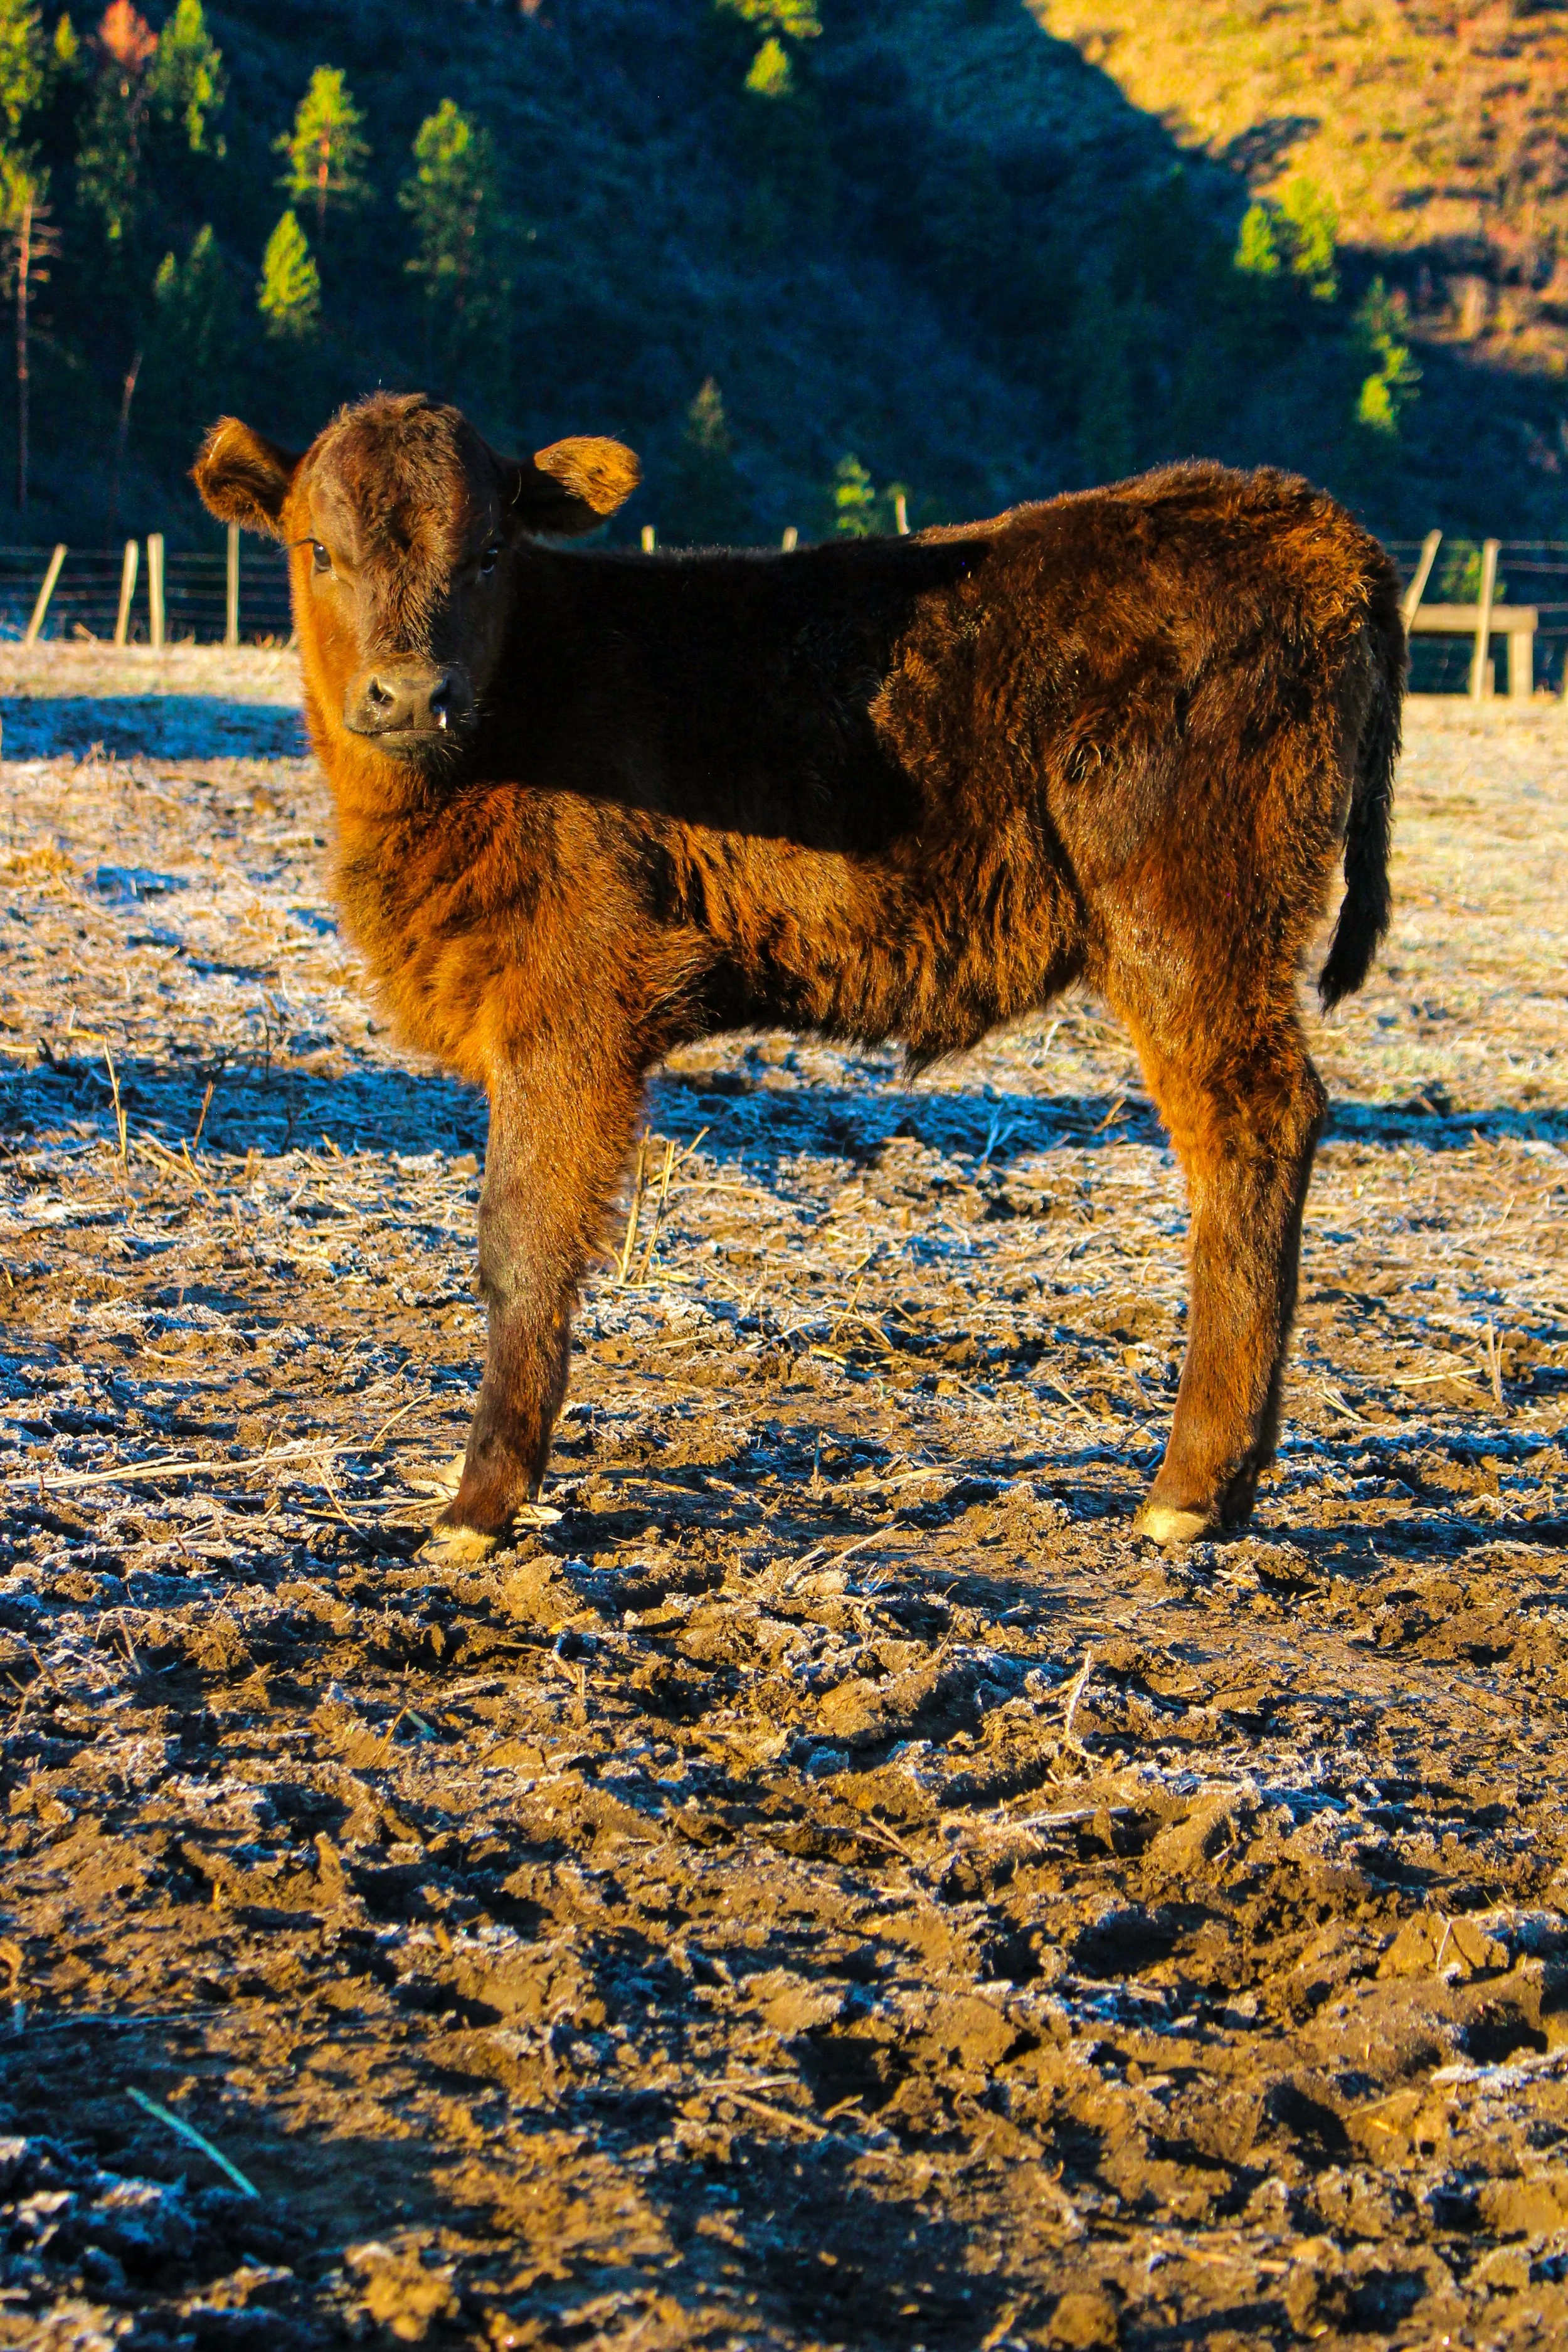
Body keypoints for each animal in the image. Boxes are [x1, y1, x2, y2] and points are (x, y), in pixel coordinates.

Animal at [193, 392, 1403, 1560]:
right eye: (317, 548)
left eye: (491, 550)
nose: (410, 694)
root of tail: (1297, 515)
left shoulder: (575, 1004)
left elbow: (522, 1245)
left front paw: (480, 1504)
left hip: (1190, 918)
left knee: (1249, 1125)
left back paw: (1190, 1488)